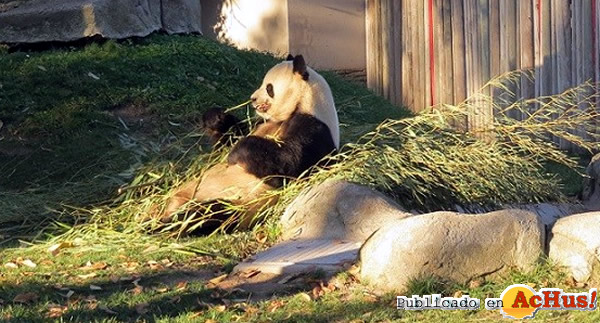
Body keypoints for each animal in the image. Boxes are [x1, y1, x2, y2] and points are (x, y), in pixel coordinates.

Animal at [157, 55, 340, 233]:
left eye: (269, 88)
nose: (253, 98)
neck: (302, 104)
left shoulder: (315, 129)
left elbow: (287, 163)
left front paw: (237, 153)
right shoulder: (262, 123)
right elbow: (230, 137)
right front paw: (216, 118)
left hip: (238, 203)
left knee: (209, 214)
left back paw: (170, 221)